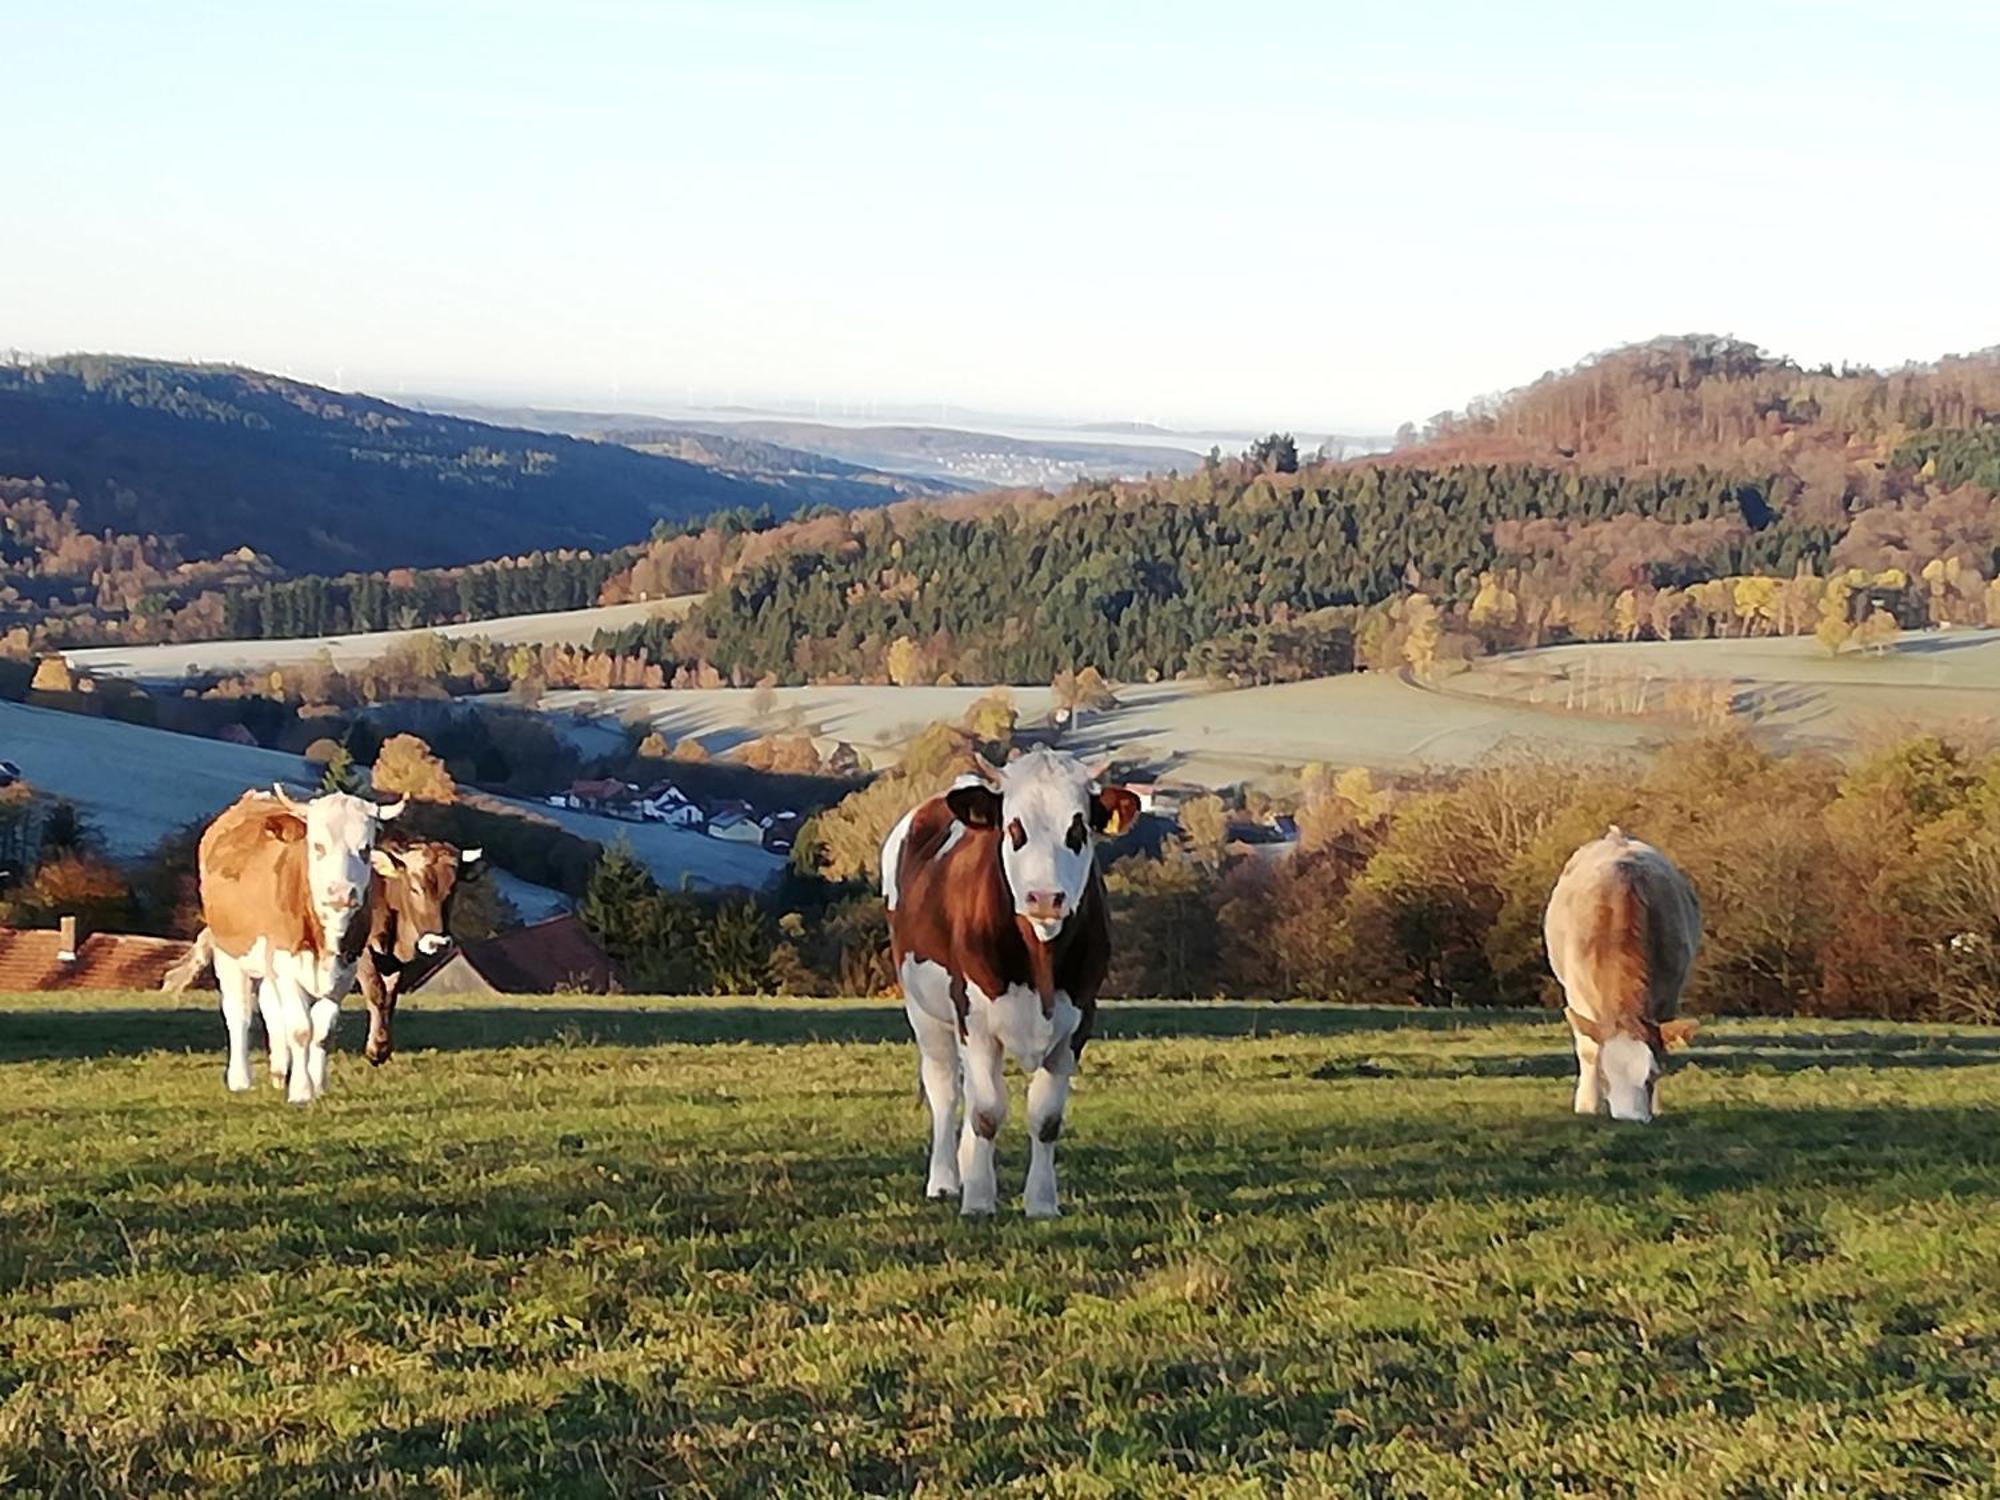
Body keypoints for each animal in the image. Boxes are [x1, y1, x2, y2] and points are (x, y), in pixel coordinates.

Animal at [197, 788, 404, 1104]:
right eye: (318, 846)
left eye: (365, 848)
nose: (341, 893)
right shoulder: (285, 964)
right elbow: (301, 1029)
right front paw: (301, 1091)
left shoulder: (345, 970)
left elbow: (322, 1031)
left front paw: (317, 1084)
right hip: (229, 954)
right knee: (239, 1014)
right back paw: (240, 1078)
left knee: (271, 1010)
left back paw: (280, 1071)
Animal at [880, 752, 1144, 1224]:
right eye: (1014, 828)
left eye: (1078, 829)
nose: (1045, 897)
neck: (1040, 961)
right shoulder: (975, 1017)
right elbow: (986, 1113)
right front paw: (978, 1200)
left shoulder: (1078, 1020)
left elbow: (1046, 1118)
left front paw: (1041, 1201)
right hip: (924, 1011)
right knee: (945, 1091)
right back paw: (945, 1180)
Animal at [1544, 836, 1704, 1128]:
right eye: (1604, 1077)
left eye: (1651, 1075)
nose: (1631, 1119)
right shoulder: (1577, 995)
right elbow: (1588, 1049)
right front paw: (1587, 1105)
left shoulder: (1669, 993)